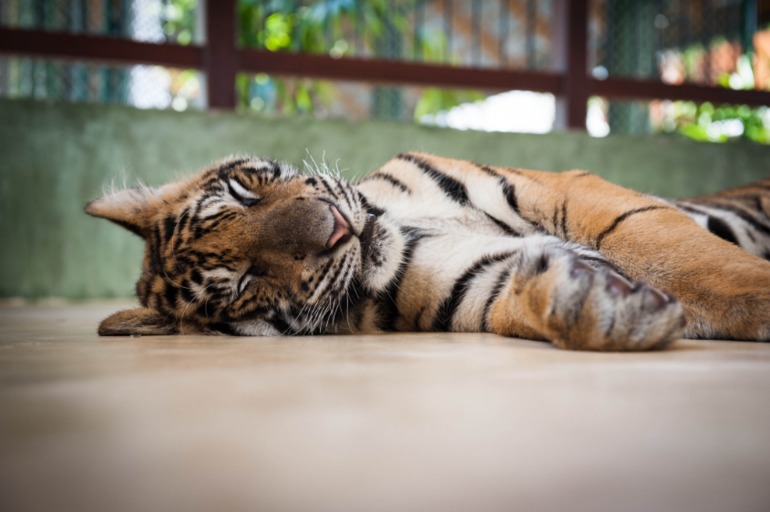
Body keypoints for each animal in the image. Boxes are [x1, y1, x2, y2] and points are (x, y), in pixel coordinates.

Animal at [85, 152, 770, 351]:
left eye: (243, 192)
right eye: (243, 282)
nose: (336, 229)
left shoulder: (565, 189)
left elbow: (686, 256)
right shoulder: (475, 284)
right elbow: (517, 297)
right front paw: (596, 305)